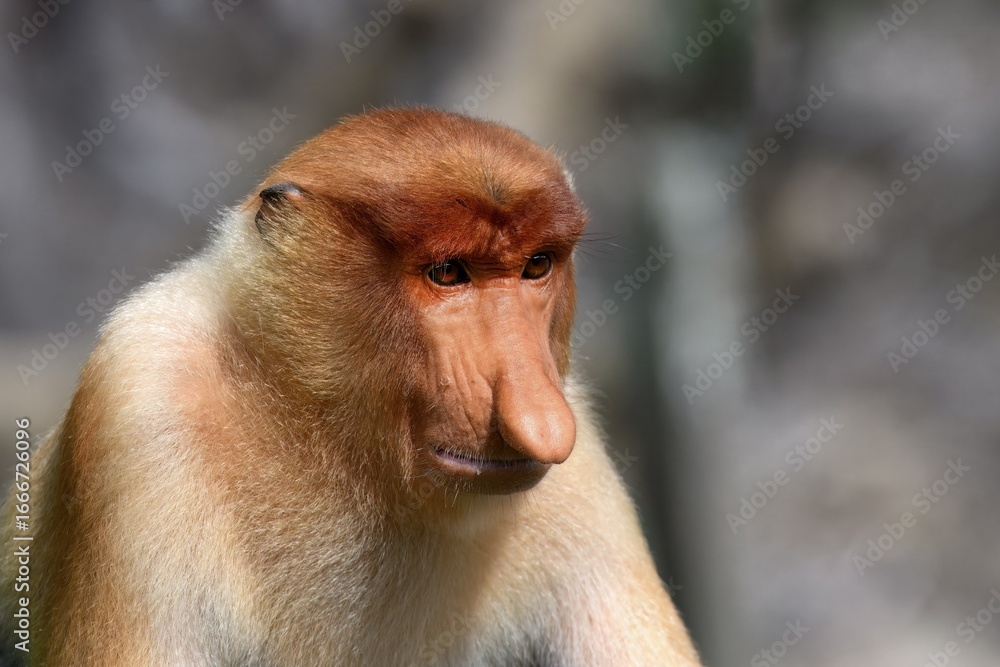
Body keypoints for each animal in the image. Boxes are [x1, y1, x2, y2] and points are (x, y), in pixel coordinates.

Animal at [0, 108, 701, 666]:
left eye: (537, 265)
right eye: (449, 272)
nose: (543, 424)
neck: (324, 439)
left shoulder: (580, 482)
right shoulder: (138, 398)